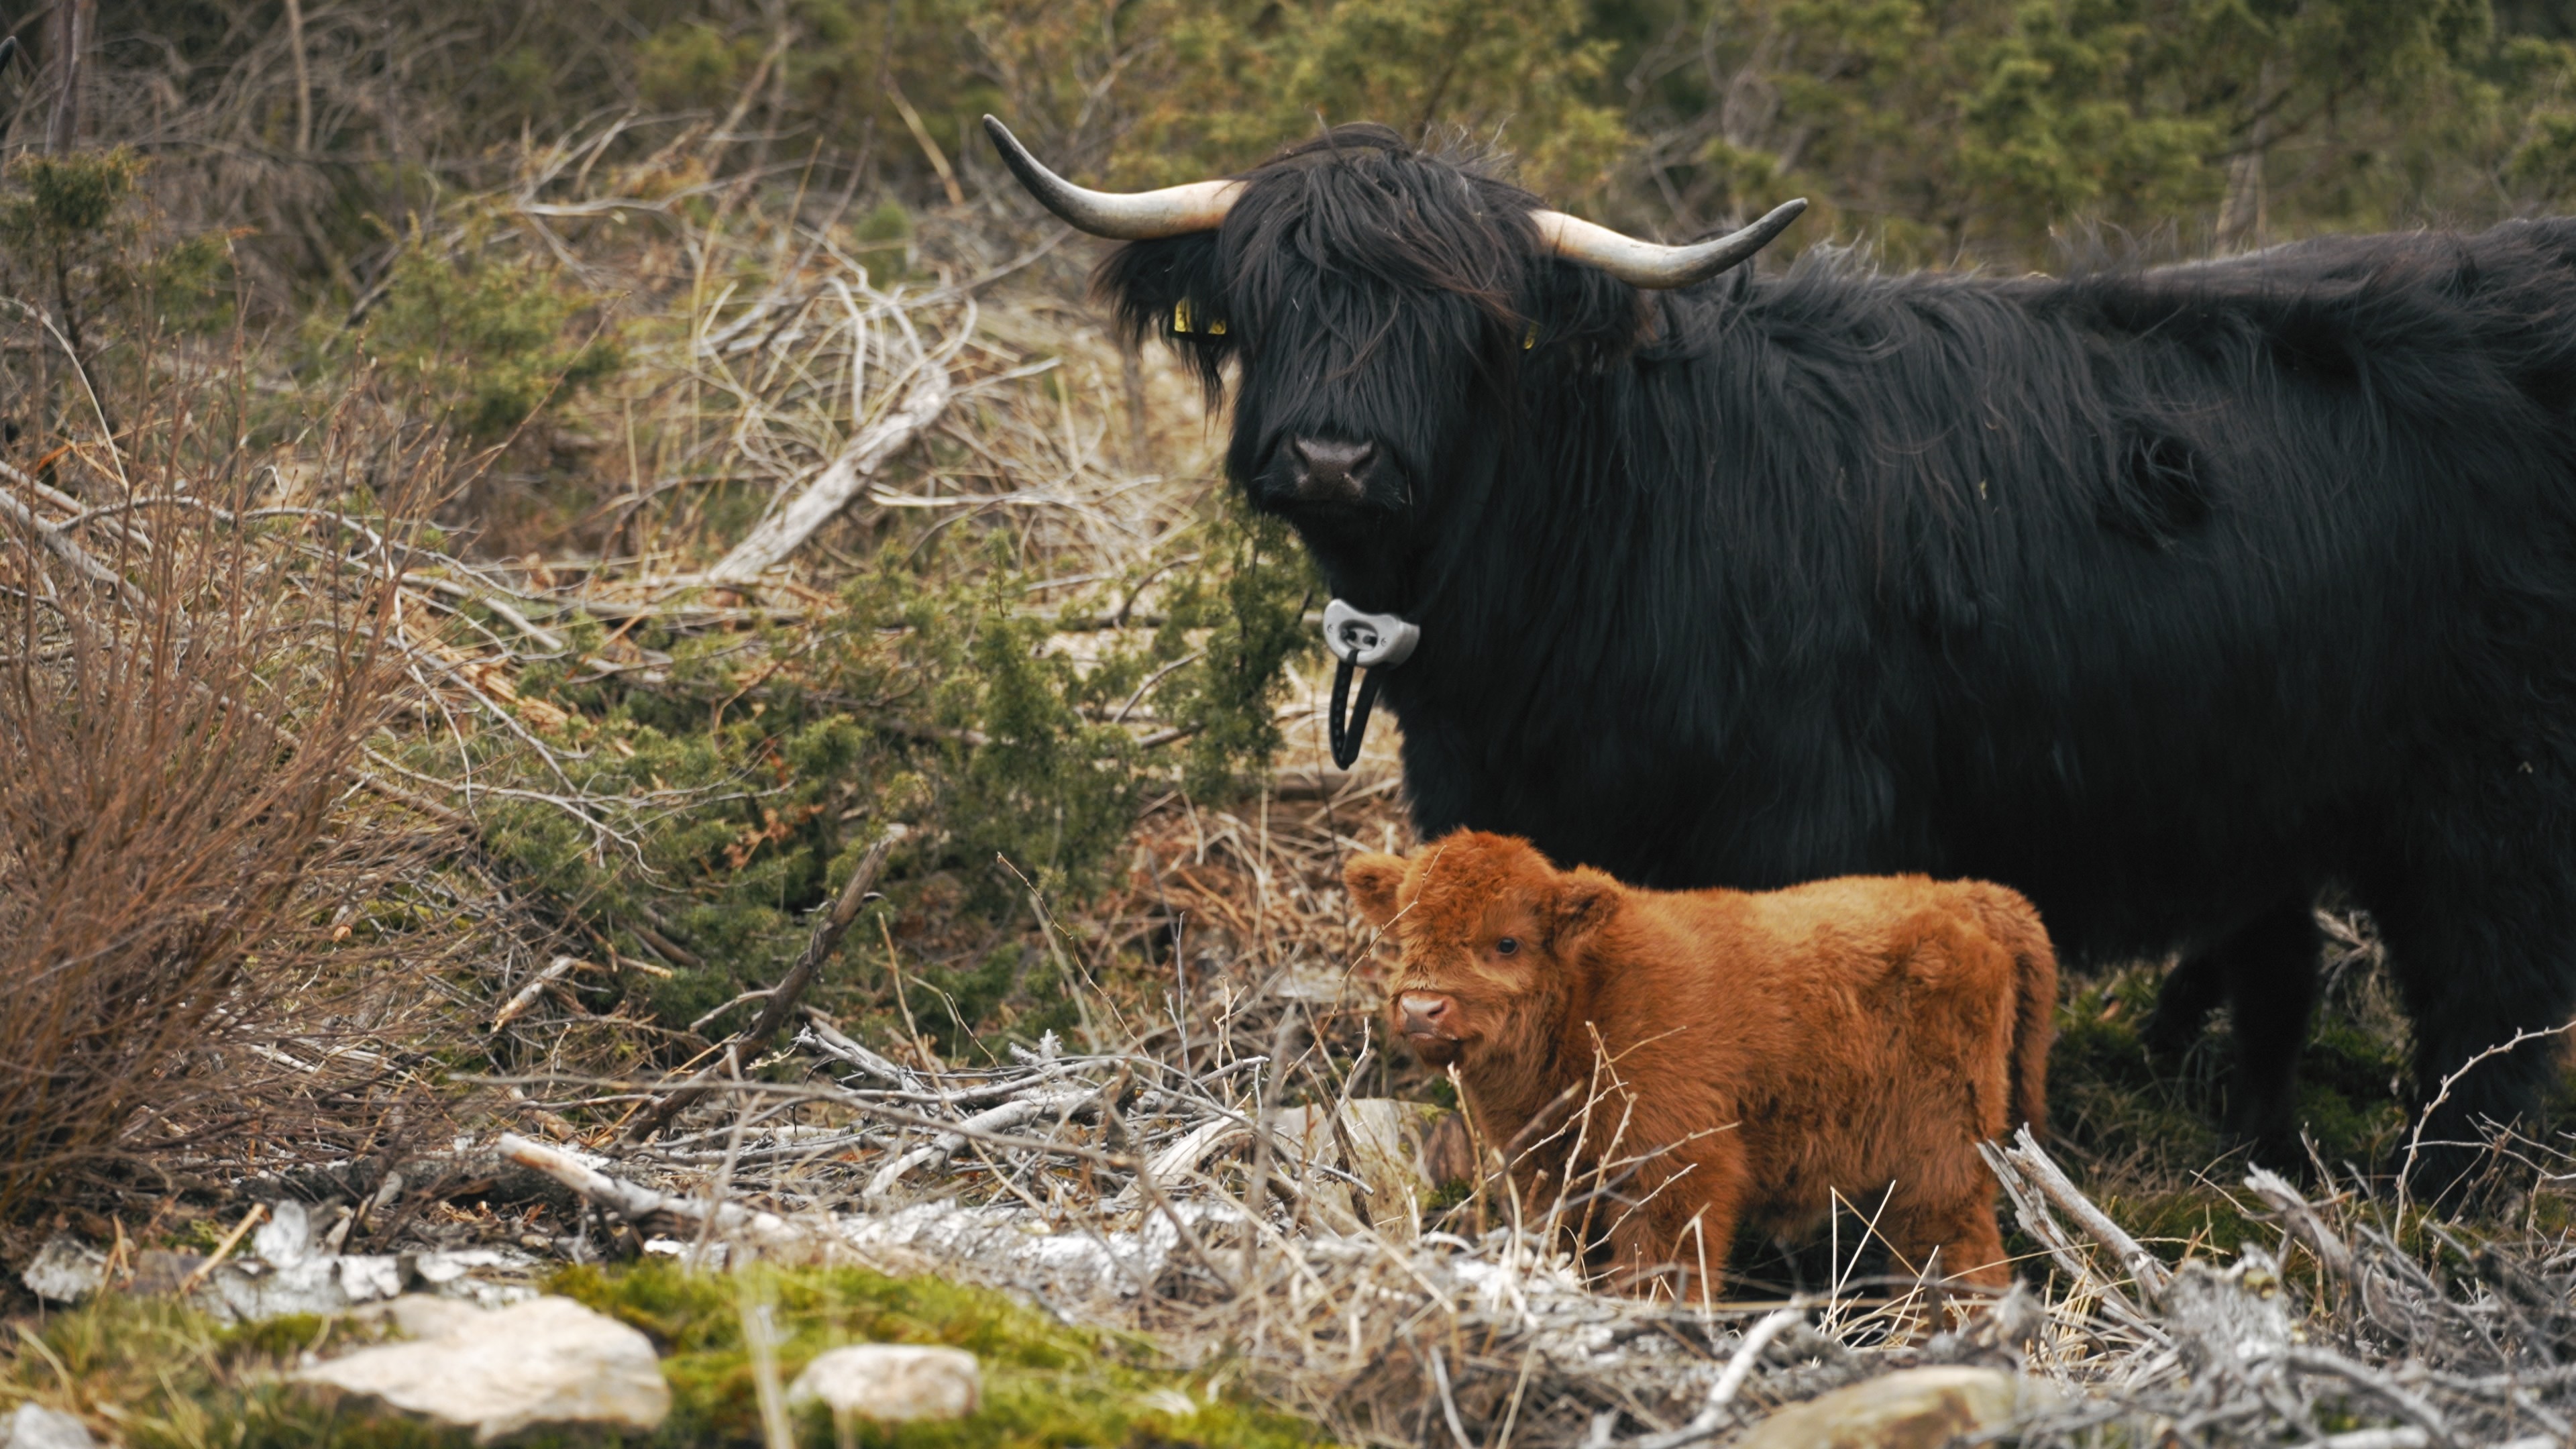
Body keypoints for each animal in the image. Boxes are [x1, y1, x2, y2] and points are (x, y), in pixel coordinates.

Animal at [985, 117, 2576, 1193]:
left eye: (1465, 323)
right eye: (1272, 297)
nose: (1332, 454)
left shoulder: (1799, 816)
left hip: (2489, 802)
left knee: (2488, 1018)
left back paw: (2430, 1199)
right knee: (2289, 965)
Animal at [1346, 830, 2054, 1296]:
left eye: (1507, 942)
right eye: (1404, 934)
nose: (1422, 1008)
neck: (1590, 994)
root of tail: (1960, 898)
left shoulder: (1678, 1172)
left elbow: (1662, 1269)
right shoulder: (1547, 1172)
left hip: (1939, 1161)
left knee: (1957, 1254)